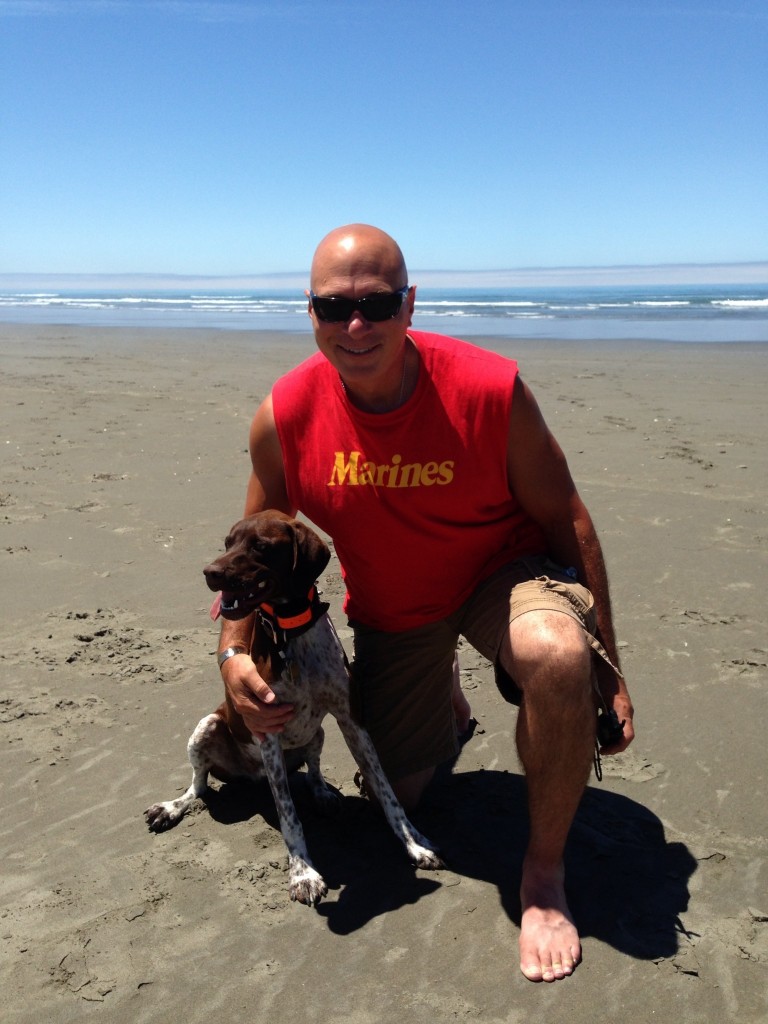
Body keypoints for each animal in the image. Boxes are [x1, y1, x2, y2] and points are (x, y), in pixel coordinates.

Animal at [145, 512, 442, 905]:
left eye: (260, 545)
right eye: (227, 543)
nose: (210, 572)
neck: (290, 633)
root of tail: (250, 776)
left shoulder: (351, 720)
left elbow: (387, 790)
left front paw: (414, 842)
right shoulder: (266, 730)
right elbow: (289, 816)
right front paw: (303, 873)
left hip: (317, 733)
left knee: (312, 769)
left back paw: (323, 793)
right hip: (208, 726)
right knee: (199, 785)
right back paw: (171, 807)